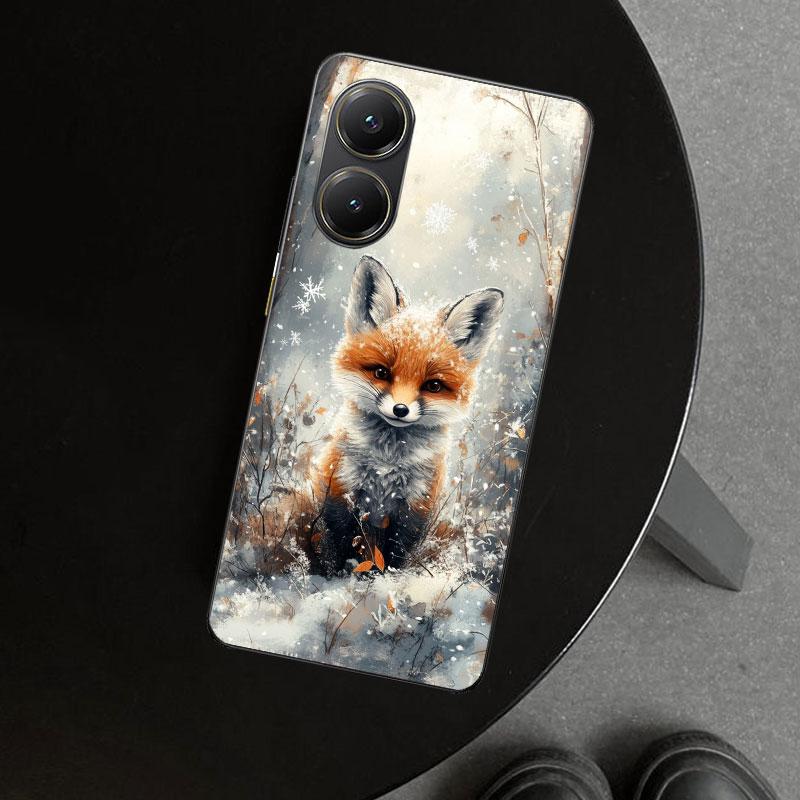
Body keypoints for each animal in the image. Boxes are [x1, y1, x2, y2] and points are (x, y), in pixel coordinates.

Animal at [313, 255, 503, 575]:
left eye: (433, 386)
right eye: (381, 372)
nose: (400, 410)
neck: (387, 462)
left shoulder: (416, 506)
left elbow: (395, 553)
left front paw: (387, 578)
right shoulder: (340, 489)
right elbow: (345, 544)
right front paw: (343, 575)